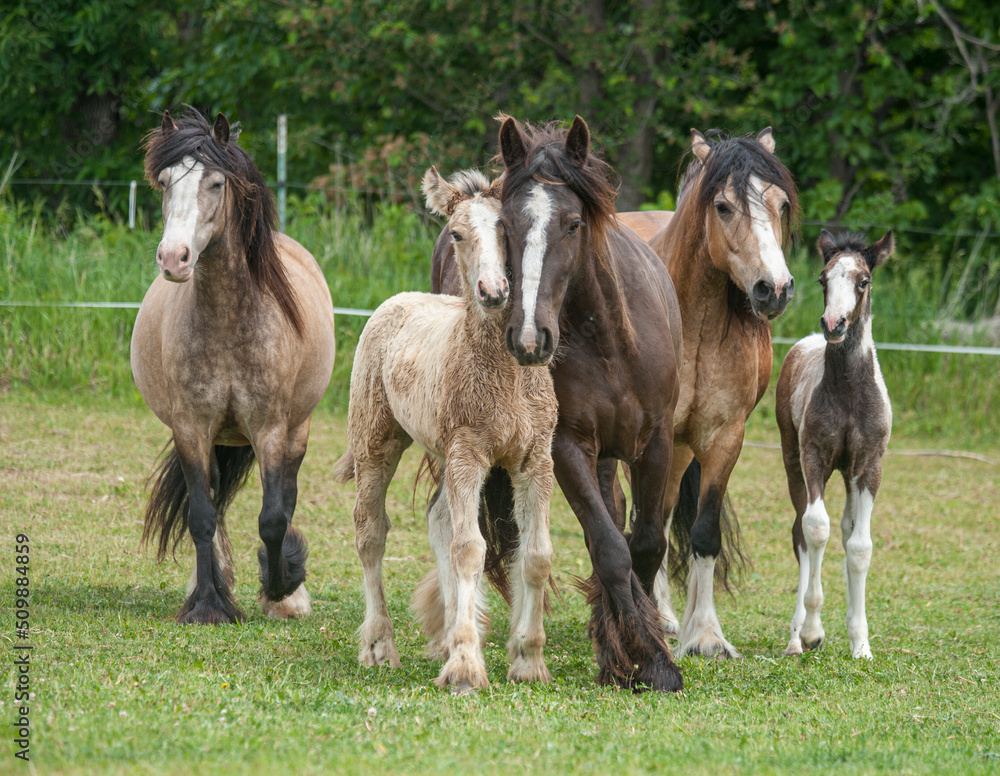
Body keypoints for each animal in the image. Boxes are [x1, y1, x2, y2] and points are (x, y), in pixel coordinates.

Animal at [132, 109, 336, 624]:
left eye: (216, 183)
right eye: (164, 182)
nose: (173, 258)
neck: (227, 321)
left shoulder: (270, 430)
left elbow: (274, 518)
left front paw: (283, 586)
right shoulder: (191, 429)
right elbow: (202, 516)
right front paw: (208, 603)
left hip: (296, 431)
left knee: (286, 497)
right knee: (214, 502)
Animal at [333, 168, 558, 693]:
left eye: (506, 228)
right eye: (456, 233)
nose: (494, 291)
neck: (506, 373)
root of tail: (397, 300)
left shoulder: (535, 460)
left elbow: (535, 555)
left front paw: (528, 660)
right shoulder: (467, 454)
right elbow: (469, 549)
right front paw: (465, 667)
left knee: (437, 521)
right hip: (376, 441)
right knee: (370, 531)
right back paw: (380, 646)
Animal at [435, 116, 685, 692]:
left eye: (573, 224)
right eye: (505, 225)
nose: (529, 338)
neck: (609, 343)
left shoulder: (656, 442)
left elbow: (644, 545)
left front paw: (645, 656)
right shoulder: (566, 448)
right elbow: (610, 549)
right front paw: (641, 657)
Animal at [616, 127, 798, 658]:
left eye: (781, 204)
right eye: (723, 206)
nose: (775, 289)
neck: (692, 322)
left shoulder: (724, 438)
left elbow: (703, 533)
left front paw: (706, 636)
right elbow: (644, 532)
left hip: (679, 451)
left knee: (664, 515)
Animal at [776, 229, 894, 659]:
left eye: (863, 281)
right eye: (823, 280)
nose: (834, 323)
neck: (847, 392)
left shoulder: (869, 464)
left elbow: (859, 545)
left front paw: (861, 644)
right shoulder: (814, 457)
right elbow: (815, 529)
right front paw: (811, 631)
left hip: (846, 472)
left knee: (844, 530)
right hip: (792, 460)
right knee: (801, 532)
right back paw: (796, 637)